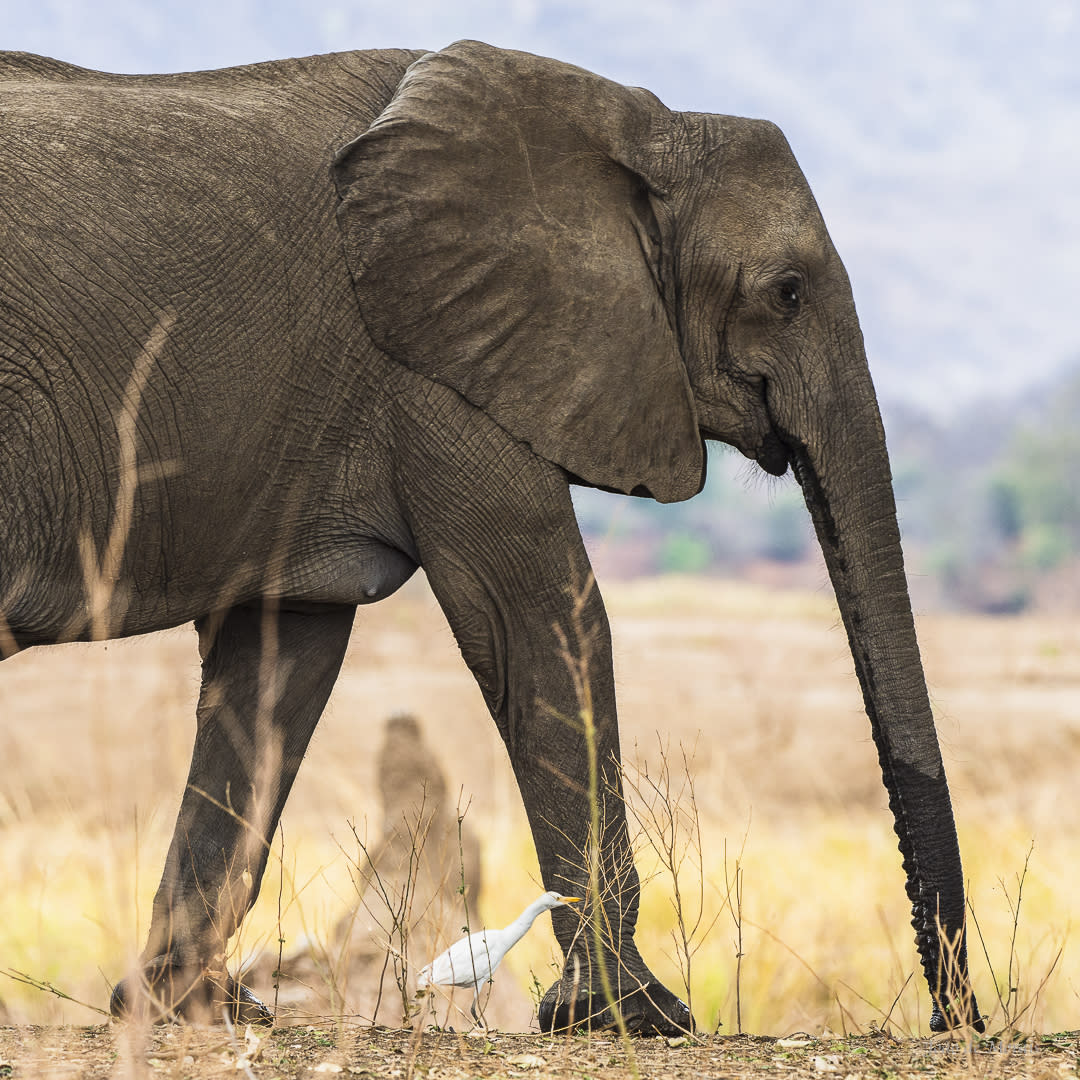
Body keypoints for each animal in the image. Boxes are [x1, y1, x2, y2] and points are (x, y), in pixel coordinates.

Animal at [0, 39, 984, 1036]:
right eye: (786, 292)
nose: (958, 1019)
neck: (629, 122)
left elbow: (277, 668)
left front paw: (193, 1009)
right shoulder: (434, 368)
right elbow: (541, 617)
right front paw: (634, 1016)